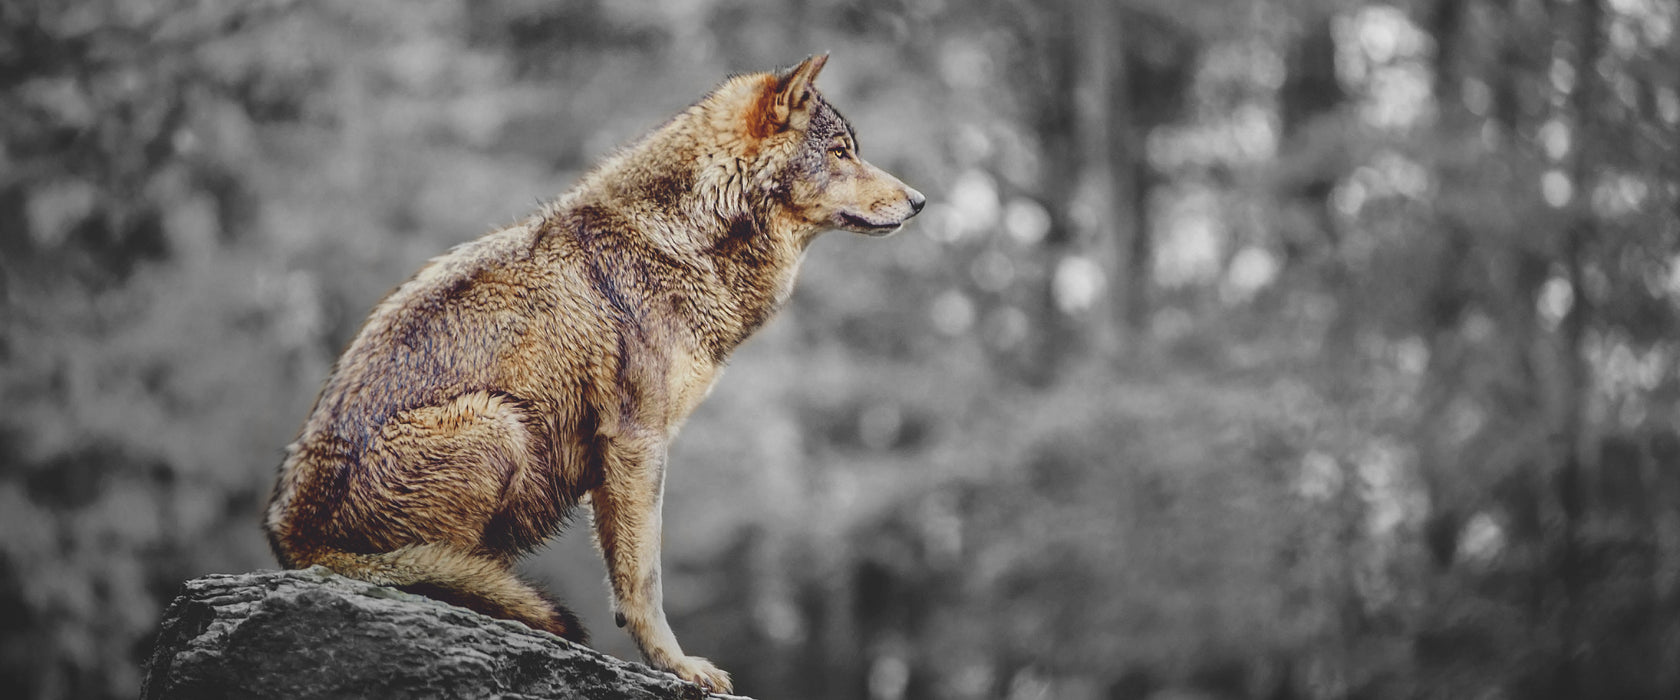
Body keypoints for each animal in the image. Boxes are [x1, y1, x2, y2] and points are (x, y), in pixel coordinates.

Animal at [262, 53, 920, 688]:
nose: (918, 202)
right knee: (443, 571)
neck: (682, 240)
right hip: (499, 424)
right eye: (841, 153)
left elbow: (629, 576)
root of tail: (292, 537)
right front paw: (678, 666)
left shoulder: (617, 459)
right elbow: (644, 580)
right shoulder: (636, 441)